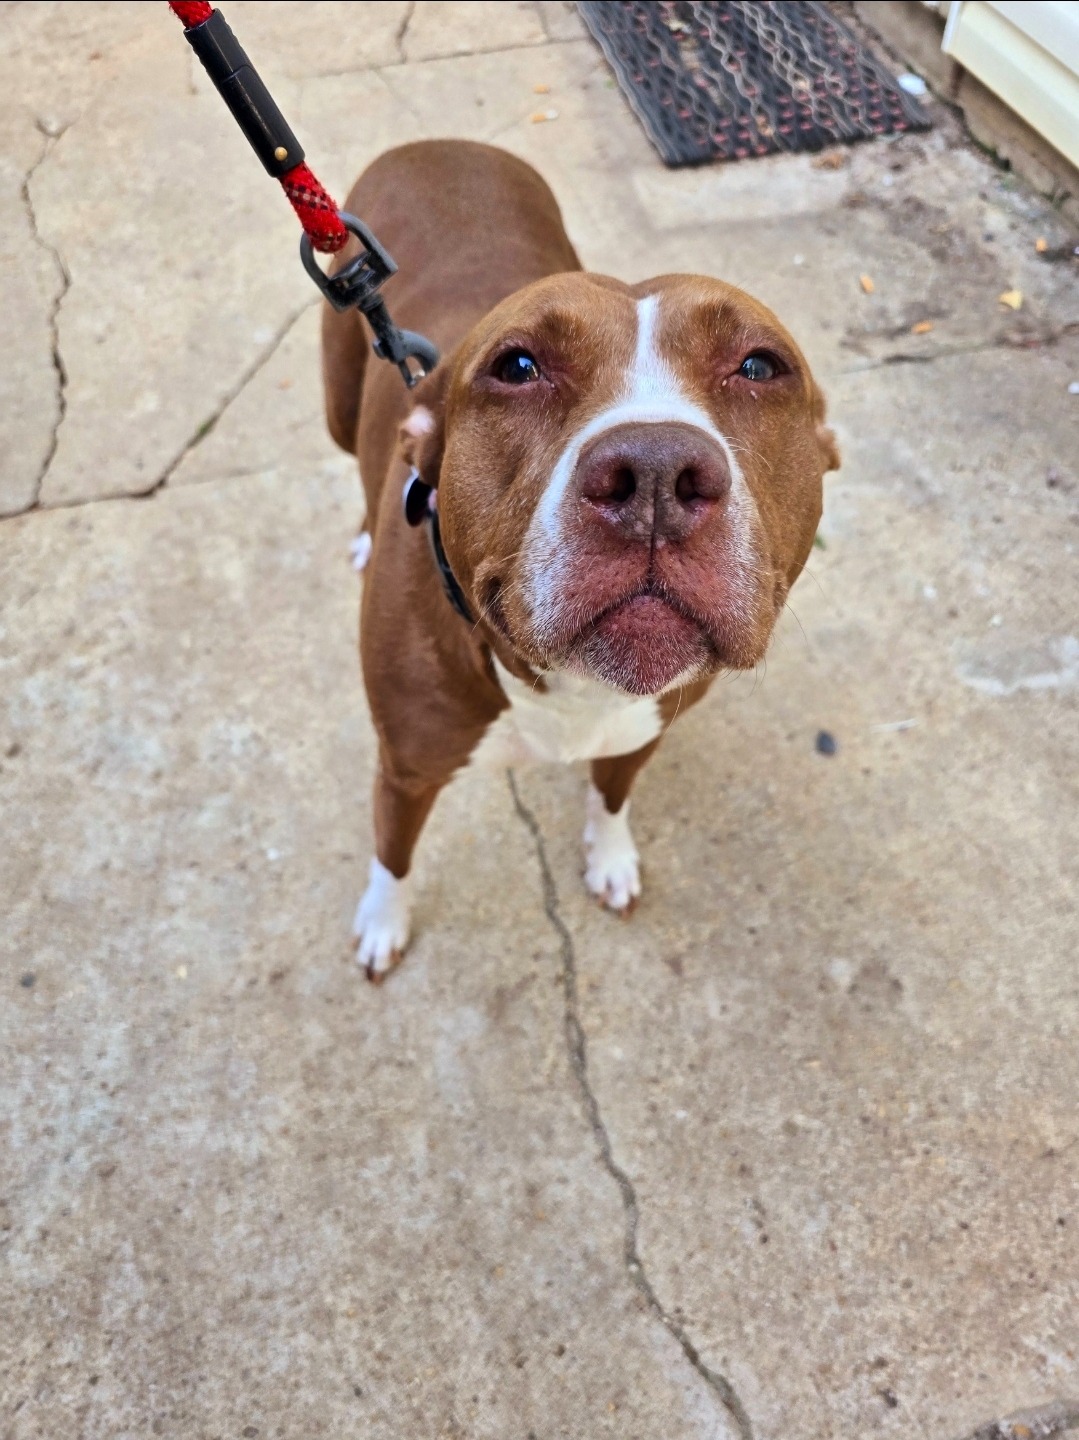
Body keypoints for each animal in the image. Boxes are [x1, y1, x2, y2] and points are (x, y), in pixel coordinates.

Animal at [321, 140, 840, 980]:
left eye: (760, 367)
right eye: (516, 366)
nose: (656, 475)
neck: (569, 691)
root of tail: (438, 142)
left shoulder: (642, 730)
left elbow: (612, 793)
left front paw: (610, 857)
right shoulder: (404, 770)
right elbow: (393, 856)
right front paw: (381, 921)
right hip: (338, 400)